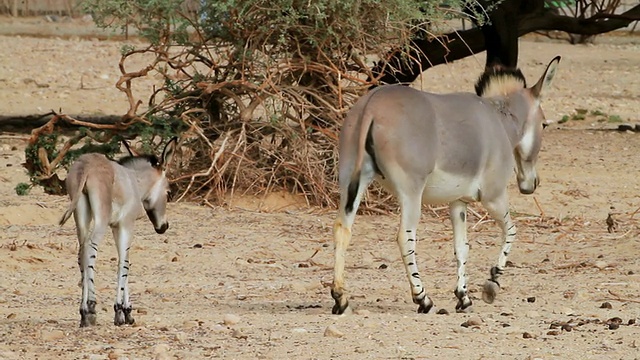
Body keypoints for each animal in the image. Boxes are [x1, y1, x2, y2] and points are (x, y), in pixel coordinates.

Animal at [60, 137, 176, 326]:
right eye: (169, 192)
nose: (163, 227)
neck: (134, 182)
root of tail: (86, 166)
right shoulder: (126, 225)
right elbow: (124, 263)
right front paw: (120, 311)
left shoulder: (116, 227)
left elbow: (124, 260)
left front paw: (127, 311)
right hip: (101, 219)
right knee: (90, 249)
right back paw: (91, 307)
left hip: (80, 215)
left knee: (81, 252)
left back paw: (83, 313)